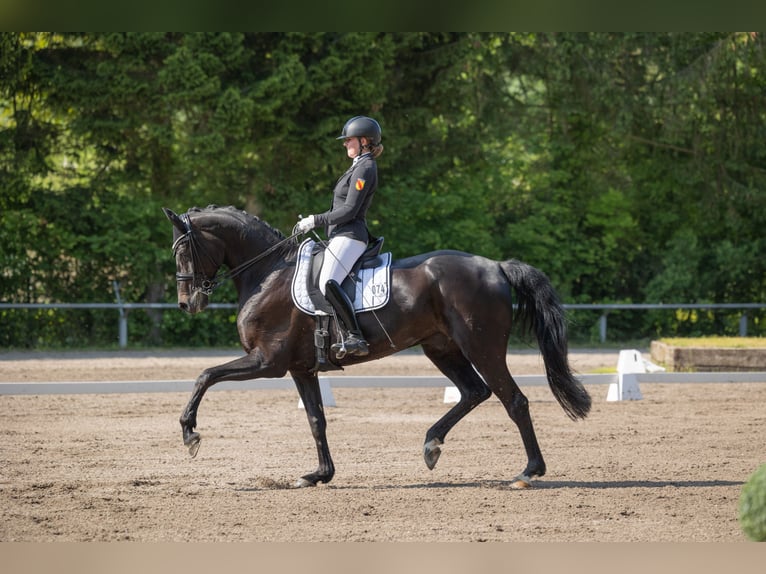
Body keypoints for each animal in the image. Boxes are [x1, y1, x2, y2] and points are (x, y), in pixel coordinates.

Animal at [164, 205, 592, 488]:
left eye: (183, 251)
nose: (188, 304)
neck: (269, 274)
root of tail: (497, 267)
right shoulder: (300, 368)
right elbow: (316, 420)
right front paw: (320, 475)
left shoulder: (267, 361)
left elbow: (205, 375)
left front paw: (190, 435)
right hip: (442, 348)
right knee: (474, 391)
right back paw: (431, 445)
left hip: (481, 346)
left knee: (513, 399)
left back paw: (528, 472)